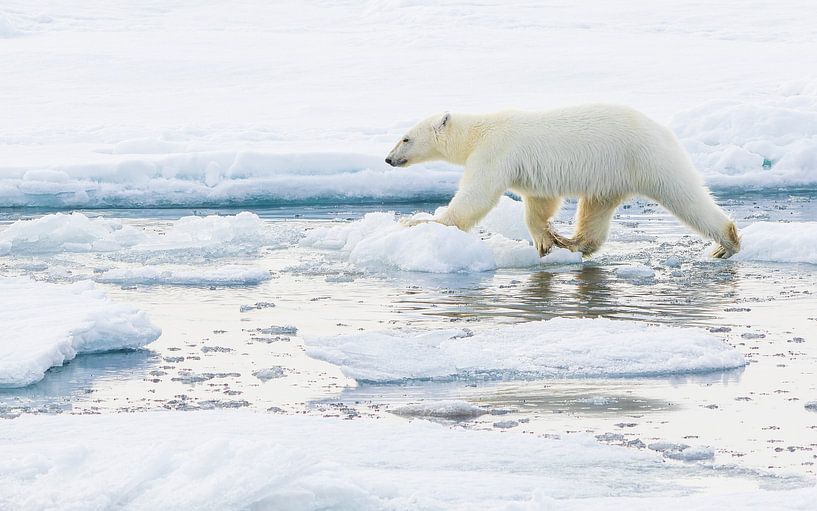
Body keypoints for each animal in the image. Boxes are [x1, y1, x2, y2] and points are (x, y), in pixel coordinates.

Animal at [384, 106, 740, 262]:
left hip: (644, 159)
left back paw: (725, 243)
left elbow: (476, 196)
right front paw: (546, 239)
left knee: (685, 196)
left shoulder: (495, 152)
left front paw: (420, 222)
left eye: (405, 138)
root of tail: (664, 131)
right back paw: (572, 241)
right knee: (595, 209)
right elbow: (539, 203)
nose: (388, 159)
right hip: (611, 174)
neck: (479, 131)